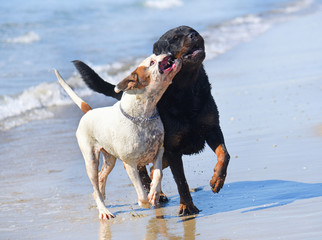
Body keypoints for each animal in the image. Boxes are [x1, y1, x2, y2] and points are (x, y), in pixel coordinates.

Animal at [55, 54, 181, 219]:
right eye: (152, 62)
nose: (168, 54)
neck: (143, 116)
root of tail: (89, 112)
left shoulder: (158, 152)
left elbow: (158, 173)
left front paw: (154, 193)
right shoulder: (130, 163)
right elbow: (140, 190)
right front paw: (144, 202)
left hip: (110, 159)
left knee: (101, 177)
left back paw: (102, 196)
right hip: (91, 159)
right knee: (95, 182)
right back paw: (104, 210)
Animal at [73, 26, 229, 216]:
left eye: (192, 30)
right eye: (174, 38)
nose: (194, 35)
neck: (186, 90)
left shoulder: (212, 128)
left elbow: (223, 154)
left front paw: (217, 180)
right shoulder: (171, 149)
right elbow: (181, 181)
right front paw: (187, 206)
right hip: (98, 157)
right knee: (133, 174)